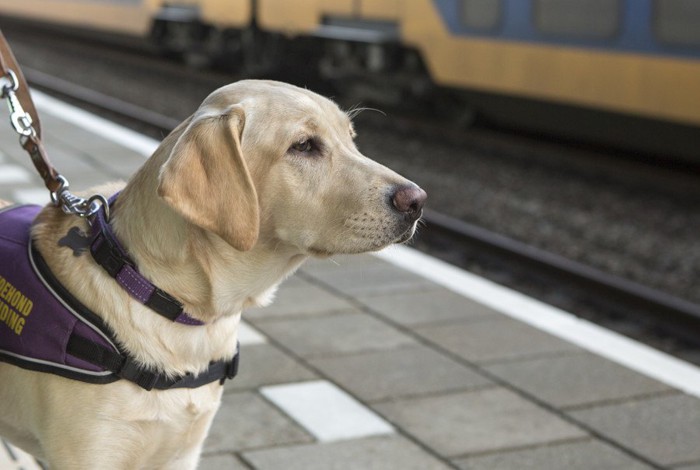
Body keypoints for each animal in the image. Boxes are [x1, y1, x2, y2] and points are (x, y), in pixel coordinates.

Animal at [0, 79, 426, 468]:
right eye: (304, 146)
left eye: (352, 139)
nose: (417, 201)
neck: (163, 299)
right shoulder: (89, 454)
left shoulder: (182, 451)